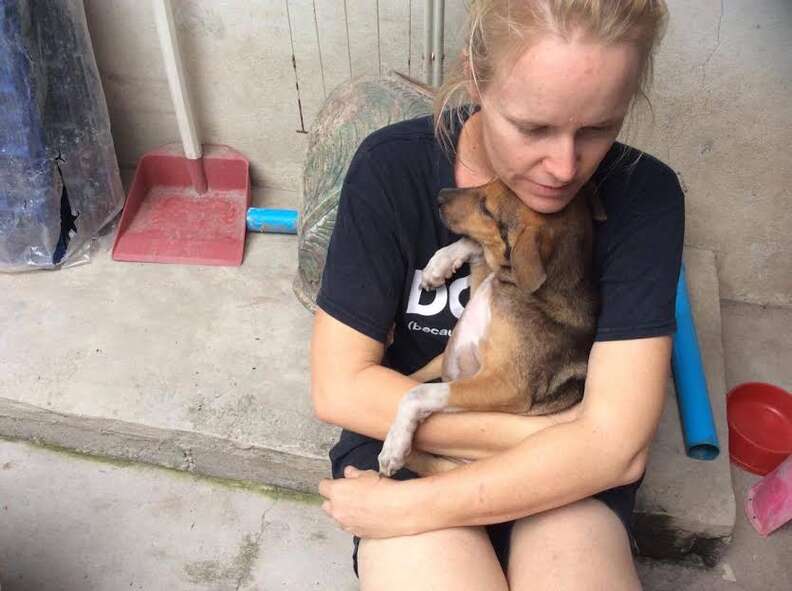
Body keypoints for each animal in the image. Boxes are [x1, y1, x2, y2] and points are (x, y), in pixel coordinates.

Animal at [378, 179, 608, 476]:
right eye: (493, 181)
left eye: (487, 209)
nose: (440, 196)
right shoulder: (481, 286)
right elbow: (475, 246)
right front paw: (437, 267)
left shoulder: (505, 384)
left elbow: (419, 393)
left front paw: (394, 445)